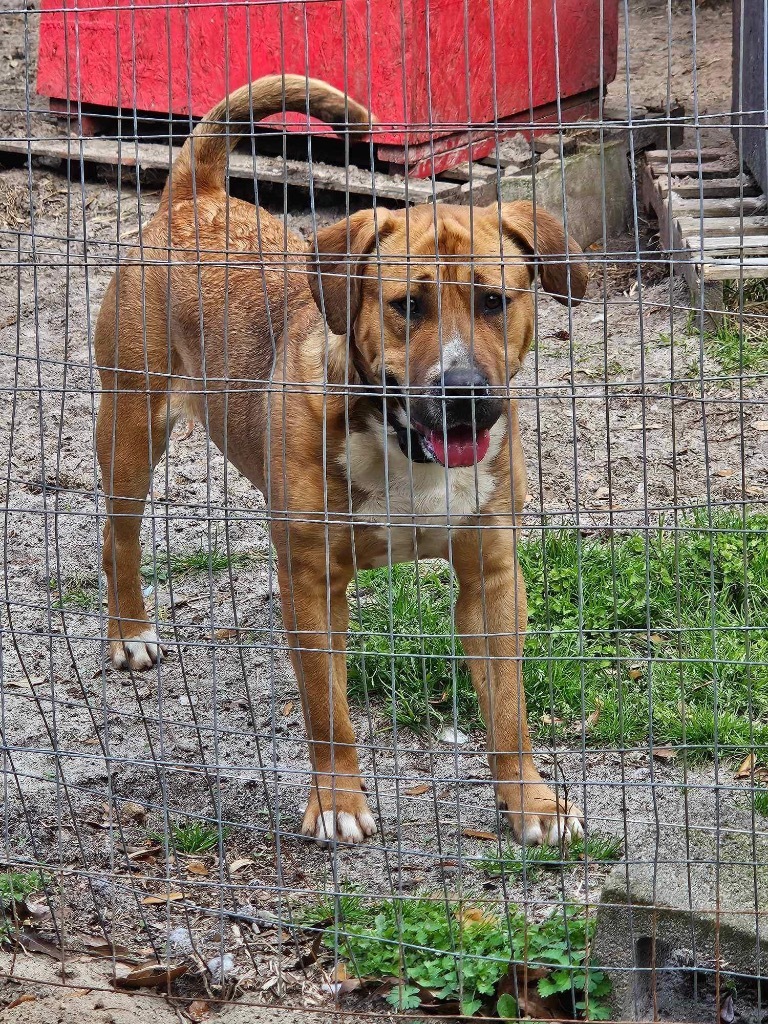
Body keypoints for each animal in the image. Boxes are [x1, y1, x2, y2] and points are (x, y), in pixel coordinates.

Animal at [94, 75, 589, 847]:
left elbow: (510, 713)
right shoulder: (312, 582)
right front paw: (337, 801)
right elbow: (329, 712)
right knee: (118, 537)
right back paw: (129, 634)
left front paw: (530, 802)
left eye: (494, 301)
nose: (462, 390)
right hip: (128, 429)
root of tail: (194, 199)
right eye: (406, 305)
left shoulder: (492, 578)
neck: (402, 447)